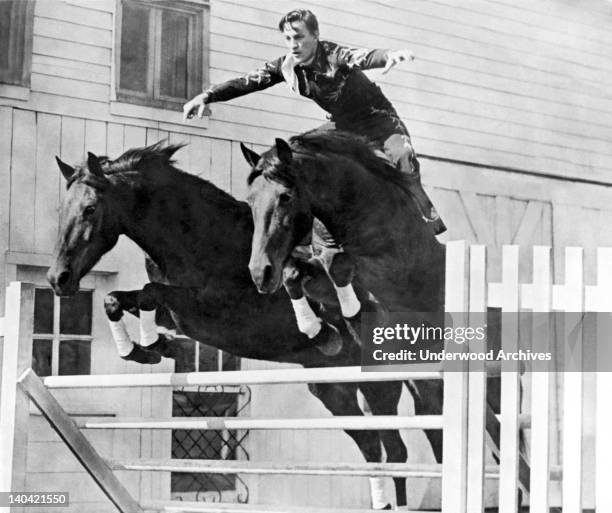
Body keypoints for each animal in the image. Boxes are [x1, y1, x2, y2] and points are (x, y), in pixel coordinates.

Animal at [45, 143, 438, 508]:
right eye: (62, 210)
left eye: (90, 209)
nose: (57, 279)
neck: (197, 236)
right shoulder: (179, 314)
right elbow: (119, 299)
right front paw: (150, 349)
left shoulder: (218, 312)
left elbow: (148, 294)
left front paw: (155, 347)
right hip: (332, 387)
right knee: (374, 446)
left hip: (385, 381)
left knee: (404, 446)